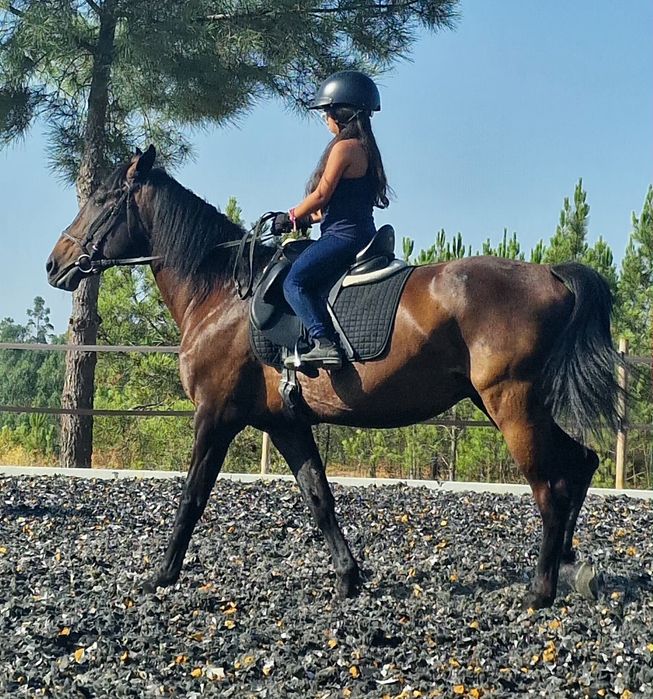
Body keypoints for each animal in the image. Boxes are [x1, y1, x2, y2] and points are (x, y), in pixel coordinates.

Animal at [46, 146, 620, 609]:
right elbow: (319, 497)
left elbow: (193, 496)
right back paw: (574, 566)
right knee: (580, 463)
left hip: (512, 404)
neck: (222, 295)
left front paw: (161, 575)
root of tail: (550, 275)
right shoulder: (284, 424)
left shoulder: (216, 415)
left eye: (102, 200)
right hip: (507, 402)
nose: (54, 265)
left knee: (550, 487)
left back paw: (541, 589)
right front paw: (348, 578)